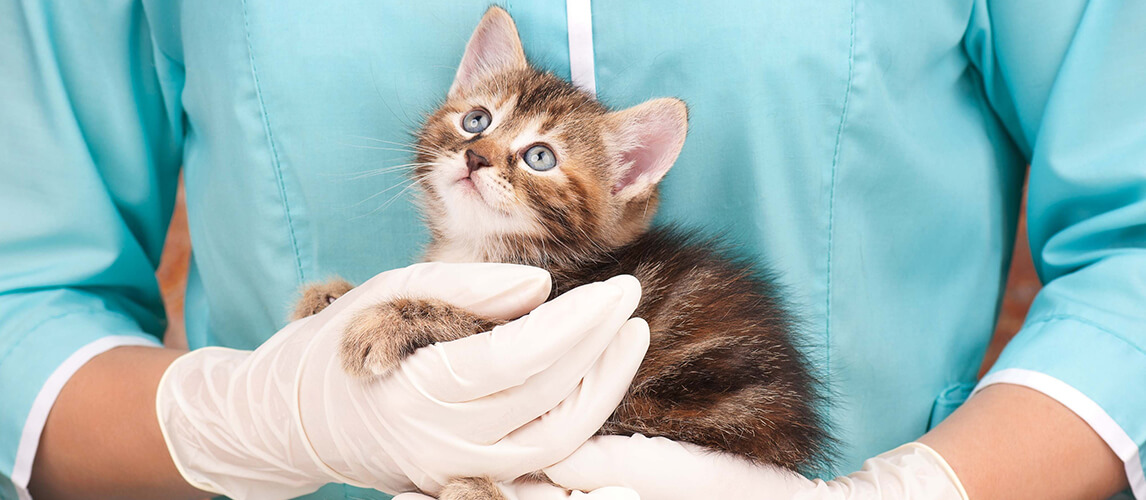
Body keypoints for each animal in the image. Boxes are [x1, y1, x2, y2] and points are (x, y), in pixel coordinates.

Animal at [295, 7, 829, 499]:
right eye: (476, 120)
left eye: (540, 157)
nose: (476, 155)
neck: (476, 250)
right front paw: (327, 299)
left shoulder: (562, 324)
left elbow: (473, 323)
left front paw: (383, 320)